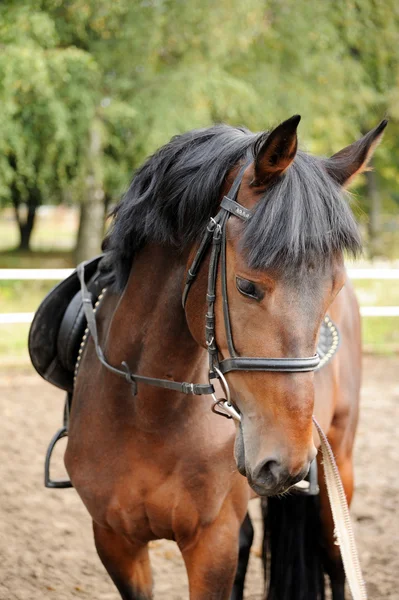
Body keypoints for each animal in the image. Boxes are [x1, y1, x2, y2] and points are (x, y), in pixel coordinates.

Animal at [65, 115, 388, 596]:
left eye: (333, 289)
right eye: (247, 286)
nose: (286, 461)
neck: (146, 408)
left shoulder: (211, 543)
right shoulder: (114, 540)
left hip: (338, 471)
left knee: (335, 563)